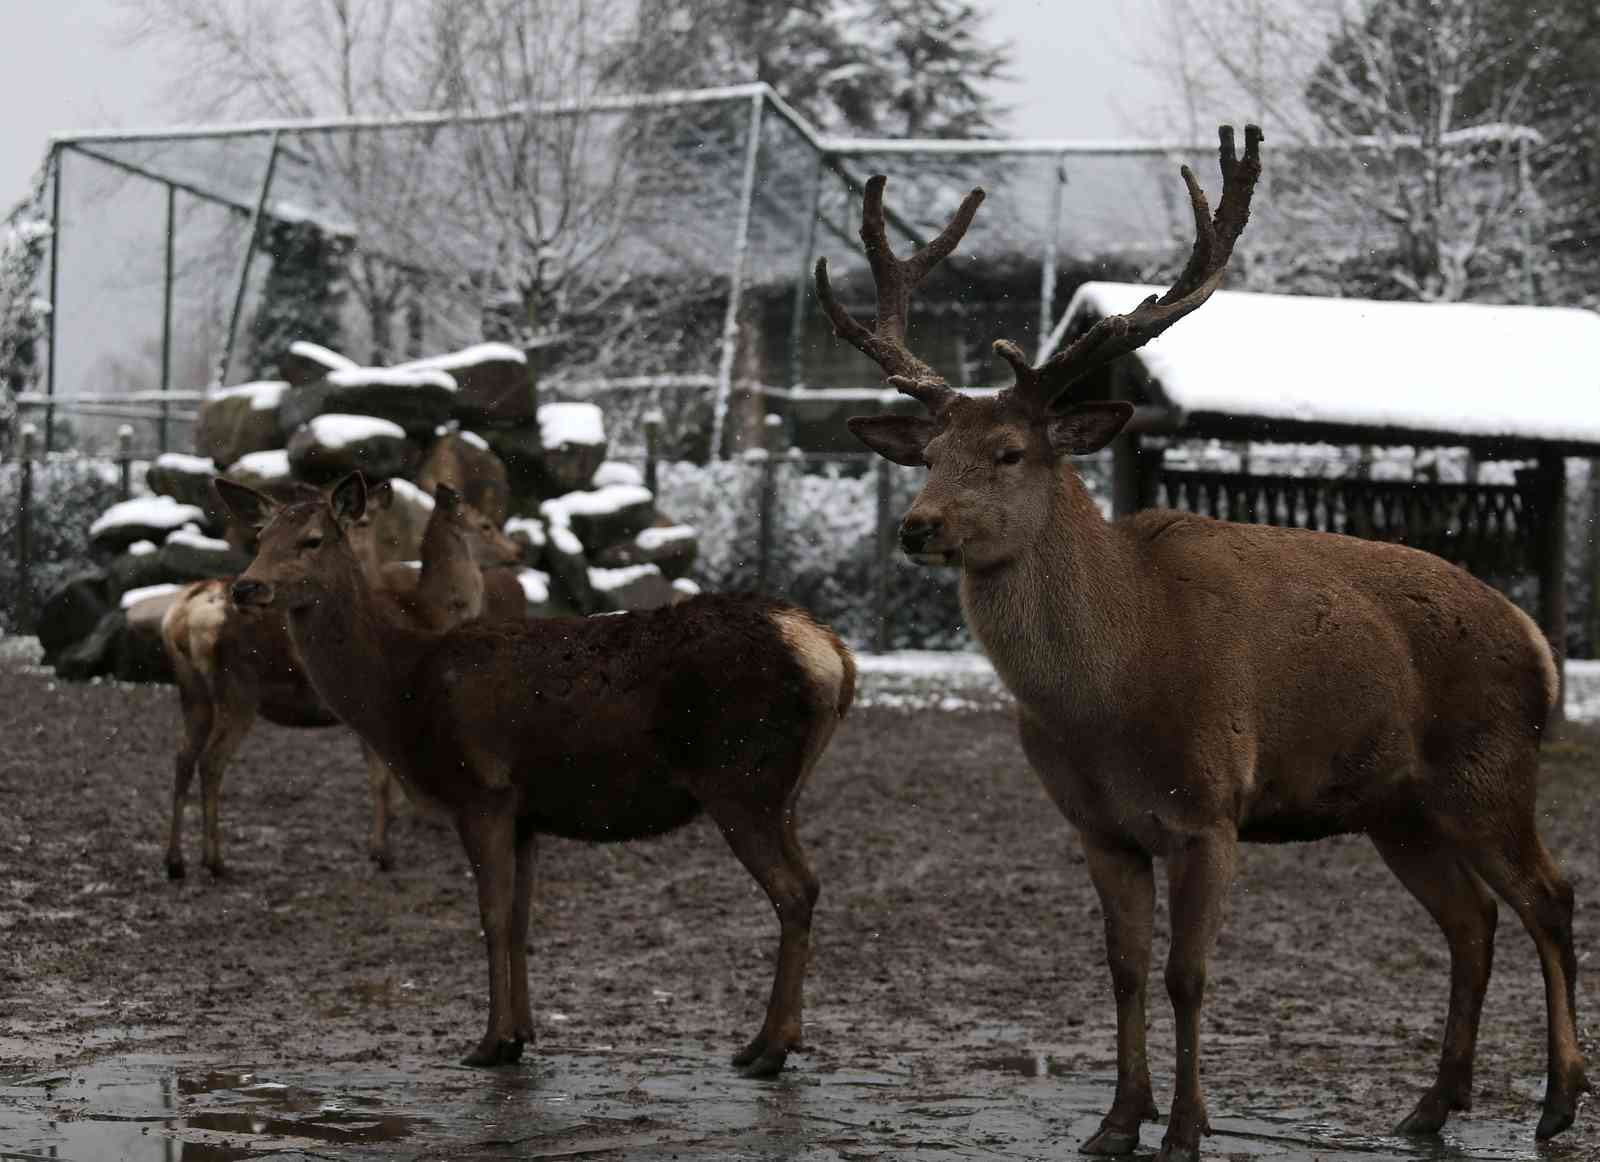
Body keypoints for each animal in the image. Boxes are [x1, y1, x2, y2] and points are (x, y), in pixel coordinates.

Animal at [160, 476, 518, 877]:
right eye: (486, 525)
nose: (517, 551)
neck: (429, 614)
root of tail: (182, 615)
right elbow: (382, 780)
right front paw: (383, 852)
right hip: (237, 687)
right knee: (210, 761)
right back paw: (215, 860)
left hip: (192, 690)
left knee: (182, 756)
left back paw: (175, 861)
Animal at [222, 473, 864, 1075]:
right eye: (259, 537)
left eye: (312, 539)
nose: (246, 586)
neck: (400, 694)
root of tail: (833, 655)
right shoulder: (526, 815)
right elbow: (521, 921)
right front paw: (521, 1035)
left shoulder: (481, 792)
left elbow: (491, 917)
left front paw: (489, 1042)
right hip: (783, 792)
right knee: (809, 884)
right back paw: (766, 1042)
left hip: (742, 780)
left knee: (793, 890)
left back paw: (771, 1050)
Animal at [819, 123, 1593, 1158]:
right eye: (931, 454)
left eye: (1011, 452)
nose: (917, 526)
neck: (1109, 695)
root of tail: (1536, 641)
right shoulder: (1097, 824)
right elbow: (1123, 969)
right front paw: (1116, 1122)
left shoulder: (1212, 805)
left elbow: (1188, 975)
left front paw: (1185, 1127)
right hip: (1398, 806)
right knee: (1471, 920)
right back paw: (1431, 1107)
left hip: (1489, 770)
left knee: (1551, 897)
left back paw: (1558, 1101)